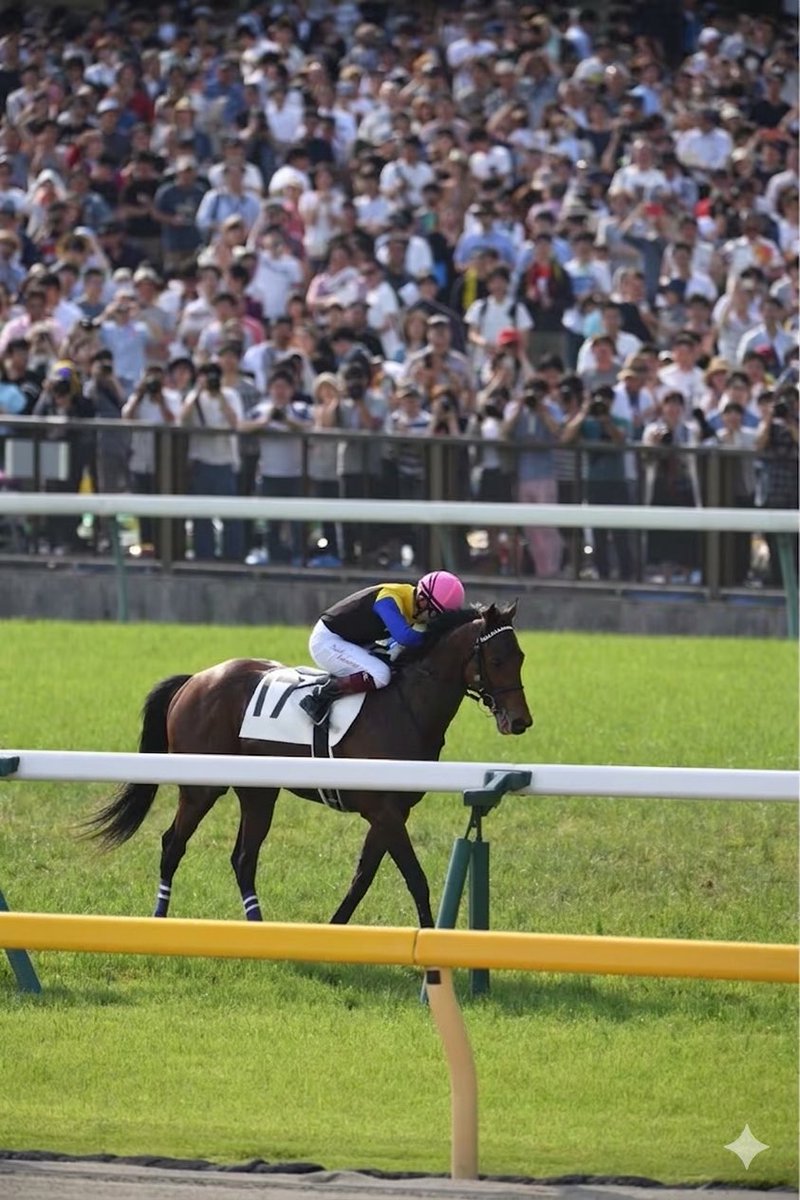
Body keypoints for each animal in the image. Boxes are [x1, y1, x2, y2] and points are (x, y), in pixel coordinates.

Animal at [86, 602, 532, 927]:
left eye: (521, 656)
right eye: (496, 659)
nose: (520, 721)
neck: (406, 706)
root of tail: (195, 680)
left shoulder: (390, 812)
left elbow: (362, 878)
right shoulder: (383, 811)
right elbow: (415, 879)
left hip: (259, 793)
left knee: (243, 859)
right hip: (201, 788)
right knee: (172, 845)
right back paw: (159, 917)